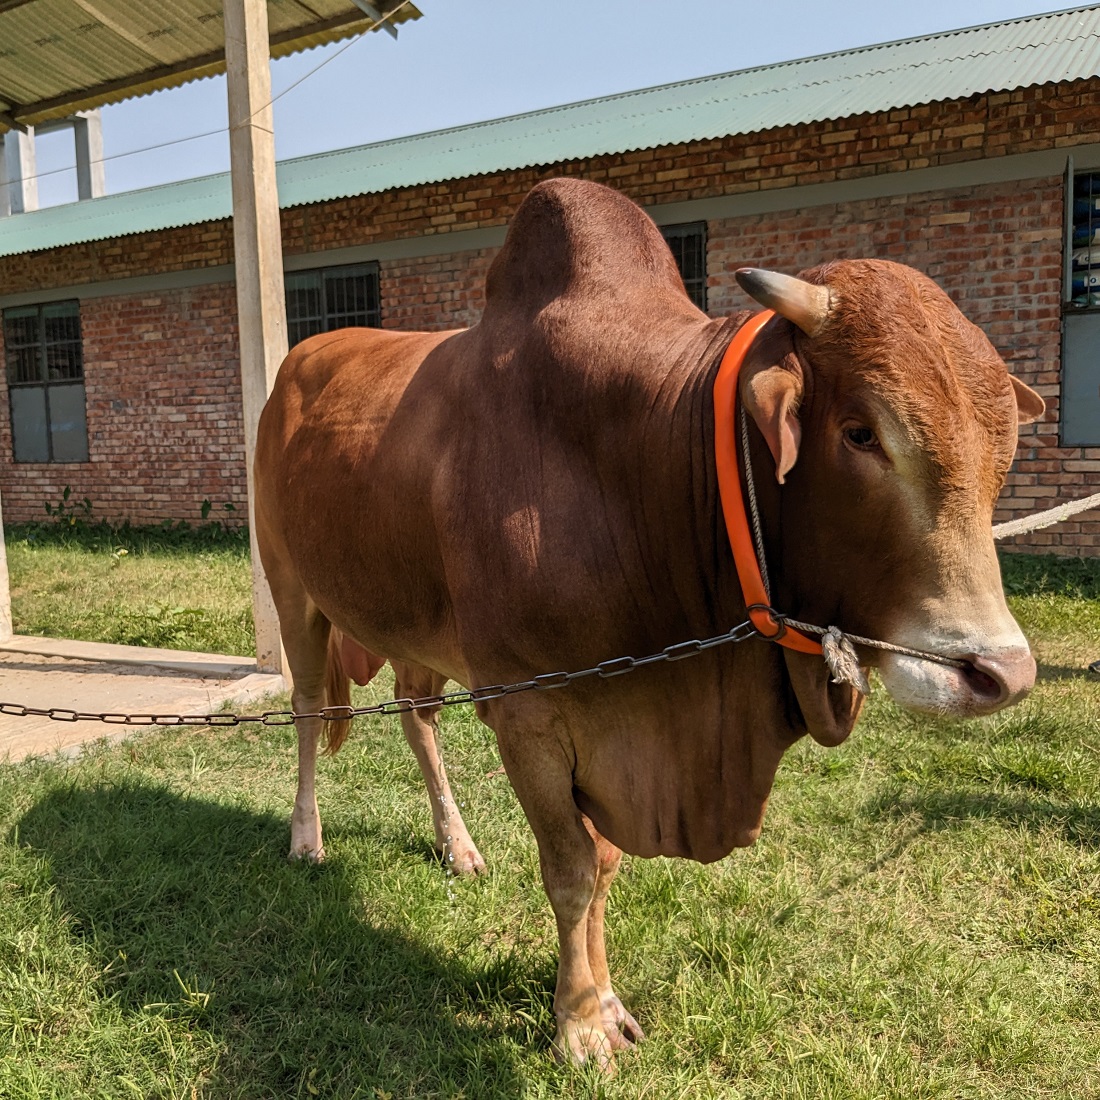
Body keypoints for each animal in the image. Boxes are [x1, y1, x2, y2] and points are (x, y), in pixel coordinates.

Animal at [253, 178, 1042, 1064]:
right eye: (862, 433)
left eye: (1003, 449)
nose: (1001, 674)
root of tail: (297, 364)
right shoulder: (529, 711)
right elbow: (570, 869)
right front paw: (579, 1022)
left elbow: (602, 868)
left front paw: (604, 998)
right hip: (292, 591)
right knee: (308, 712)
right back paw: (307, 838)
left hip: (412, 626)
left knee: (417, 718)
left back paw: (457, 846)